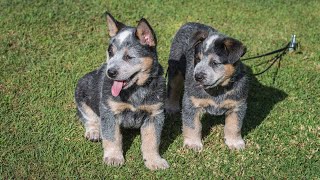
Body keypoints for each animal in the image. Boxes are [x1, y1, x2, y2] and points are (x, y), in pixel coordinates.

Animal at [75, 12, 170, 170]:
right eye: (110, 52)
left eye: (128, 56)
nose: (110, 72)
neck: (135, 90)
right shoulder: (109, 111)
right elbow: (112, 137)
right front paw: (114, 157)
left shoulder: (154, 113)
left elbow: (152, 141)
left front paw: (154, 161)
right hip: (81, 90)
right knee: (89, 117)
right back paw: (94, 131)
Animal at [166, 22, 249, 150]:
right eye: (197, 59)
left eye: (215, 63)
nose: (197, 76)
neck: (217, 90)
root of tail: (189, 23)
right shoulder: (191, 103)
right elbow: (193, 125)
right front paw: (193, 144)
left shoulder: (238, 105)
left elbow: (234, 126)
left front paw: (235, 143)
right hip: (175, 69)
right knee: (173, 89)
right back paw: (171, 107)